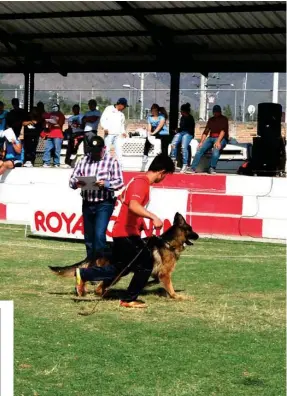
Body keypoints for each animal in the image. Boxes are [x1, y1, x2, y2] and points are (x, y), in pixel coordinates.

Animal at [49, 213, 198, 300]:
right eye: (191, 229)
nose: (198, 235)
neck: (168, 242)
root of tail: (100, 250)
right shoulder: (164, 274)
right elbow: (170, 287)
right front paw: (176, 296)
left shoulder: (157, 274)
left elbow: (153, 281)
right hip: (119, 272)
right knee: (96, 282)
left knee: (94, 280)